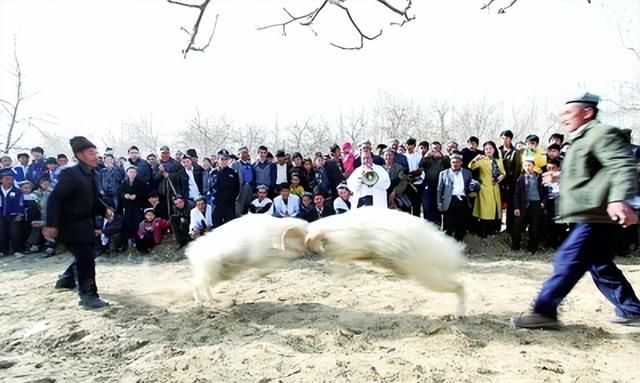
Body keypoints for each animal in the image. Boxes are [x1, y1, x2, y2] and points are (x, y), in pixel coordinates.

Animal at [304, 208, 464, 316]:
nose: (311, 250)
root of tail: (447, 252)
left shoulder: (347, 246)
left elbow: (341, 261)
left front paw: (338, 275)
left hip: (428, 276)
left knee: (459, 286)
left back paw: (460, 312)